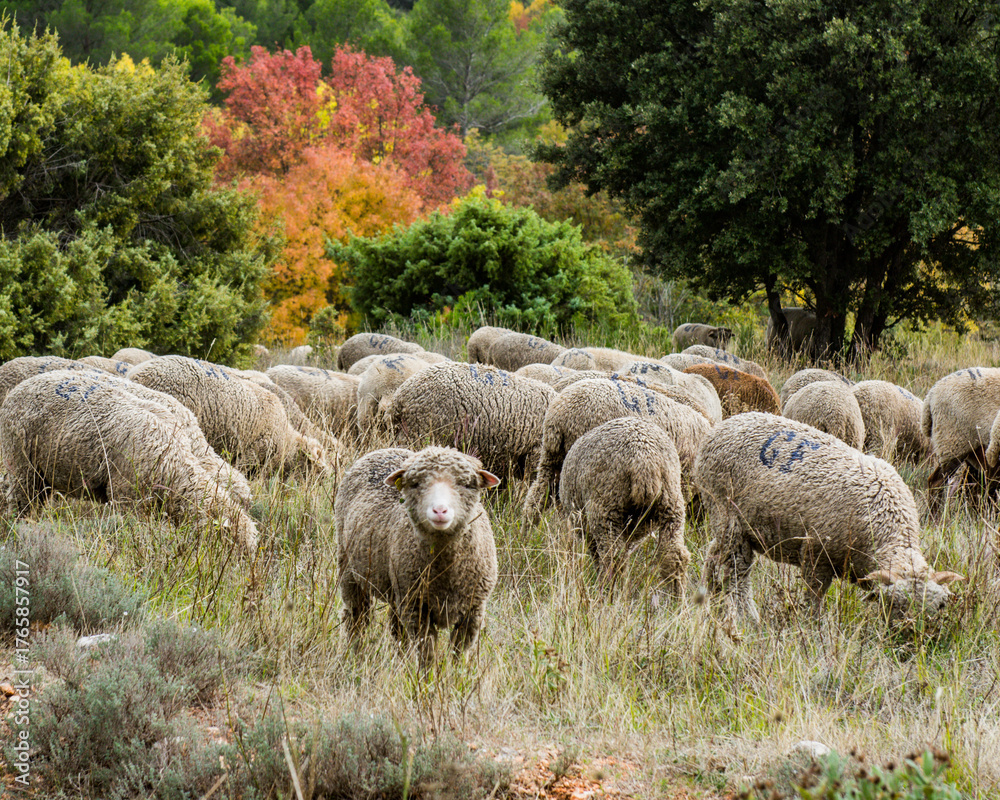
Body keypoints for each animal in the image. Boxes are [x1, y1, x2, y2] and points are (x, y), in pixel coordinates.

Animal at [0, 371, 259, 552]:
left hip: (43, 477)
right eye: (232, 546)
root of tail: (19, 388)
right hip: (22, 465)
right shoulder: (126, 496)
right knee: (20, 505)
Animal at [336, 446, 500, 665]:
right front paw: (427, 675)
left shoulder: (473, 611)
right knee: (357, 617)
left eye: (466, 484)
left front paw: (456, 674)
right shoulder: (418, 611)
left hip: (398, 588)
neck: (446, 572)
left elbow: (459, 654)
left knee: (396, 629)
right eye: (415, 484)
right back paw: (355, 657)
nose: (440, 510)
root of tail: (386, 449)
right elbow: (427, 655)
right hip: (349, 567)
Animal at [558, 417, 689, 595]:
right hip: (671, 505)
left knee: (613, 559)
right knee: (673, 556)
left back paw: (610, 594)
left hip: (606, 508)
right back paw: (677, 598)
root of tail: (644, 458)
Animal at [695, 412, 964, 633]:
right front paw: (813, 630)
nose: (913, 640)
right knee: (737, 574)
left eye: (940, 606)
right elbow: (813, 599)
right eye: (892, 604)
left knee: (714, 555)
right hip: (727, 515)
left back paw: (709, 594)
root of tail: (722, 427)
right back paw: (745, 617)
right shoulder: (816, 555)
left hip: (729, 524)